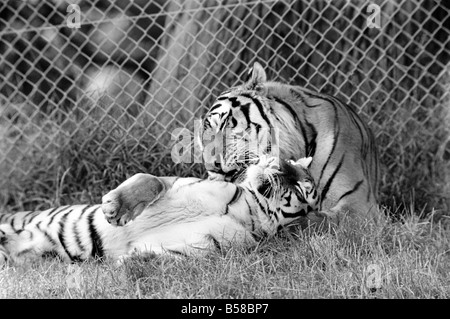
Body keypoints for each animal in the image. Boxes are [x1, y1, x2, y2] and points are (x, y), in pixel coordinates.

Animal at [0, 156, 318, 266]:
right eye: (282, 161)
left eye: (300, 187)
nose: (275, 165)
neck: (245, 209)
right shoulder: (174, 184)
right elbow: (147, 179)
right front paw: (114, 208)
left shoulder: (201, 246)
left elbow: (160, 255)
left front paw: (129, 262)